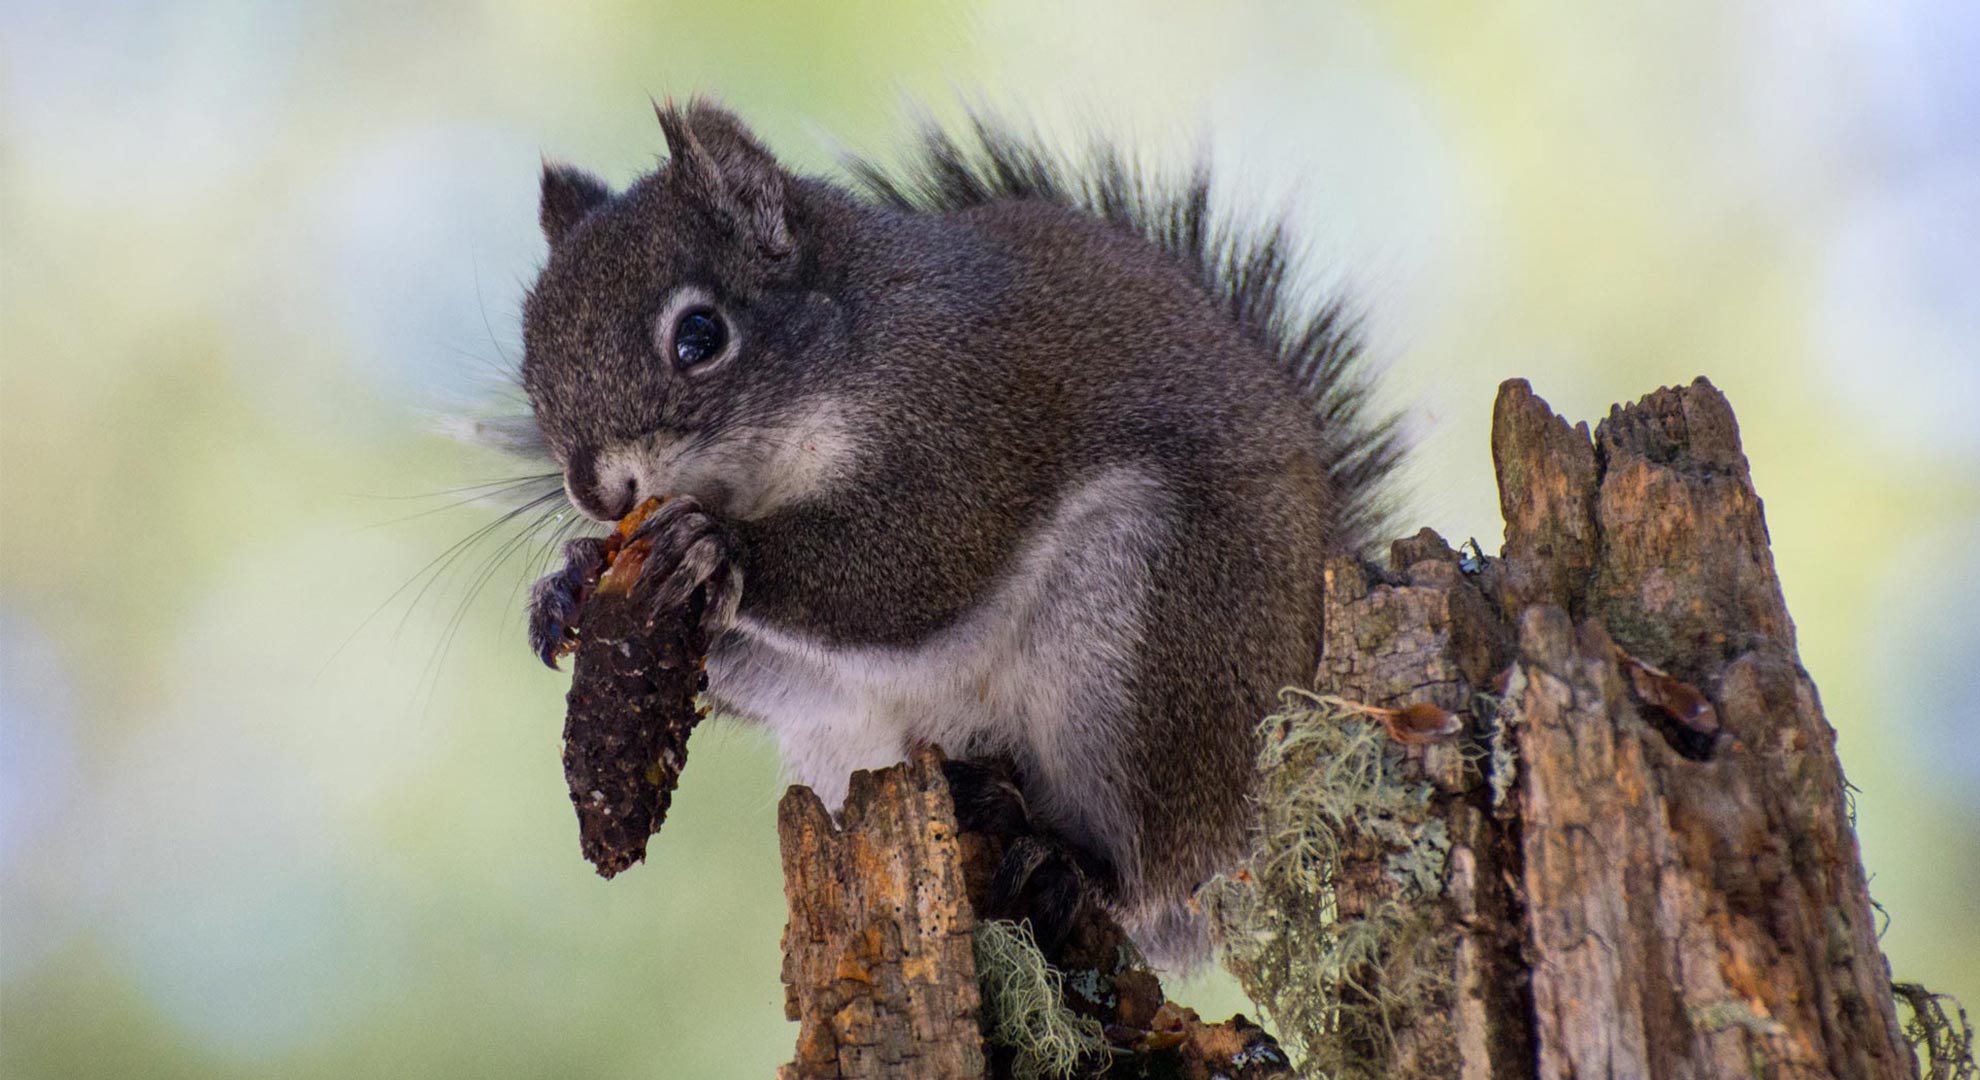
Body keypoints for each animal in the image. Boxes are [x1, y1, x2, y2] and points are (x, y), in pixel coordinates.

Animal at [518, 99, 1401, 959]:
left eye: (700, 336)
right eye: (530, 371)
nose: (598, 493)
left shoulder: (973, 415)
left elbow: (920, 561)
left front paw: (718, 545)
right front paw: (567, 584)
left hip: (1156, 637)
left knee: (1151, 866)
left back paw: (1073, 863)